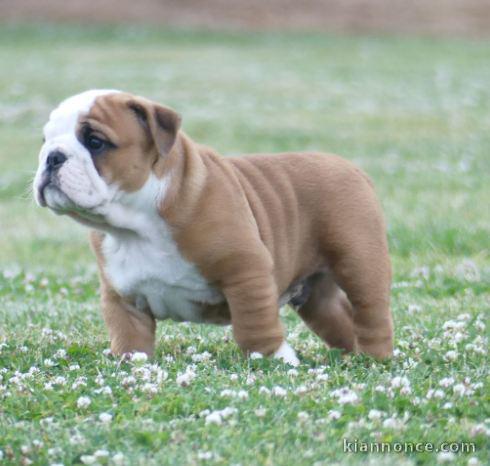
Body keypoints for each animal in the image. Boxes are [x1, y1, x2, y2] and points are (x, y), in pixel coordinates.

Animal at [33, 90, 394, 364]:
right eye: (45, 140)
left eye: (95, 142)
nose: (52, 156)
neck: (136, 225)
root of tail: (352, 168)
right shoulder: (122, 297)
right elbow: (129, 339)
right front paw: (132, 366)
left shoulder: (246, 270)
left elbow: (254, 326)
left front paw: (275, 359)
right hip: (317, 295)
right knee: (339, 317)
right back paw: (349, 358)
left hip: (359, 263)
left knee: (370, 313)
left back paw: (373, 358)